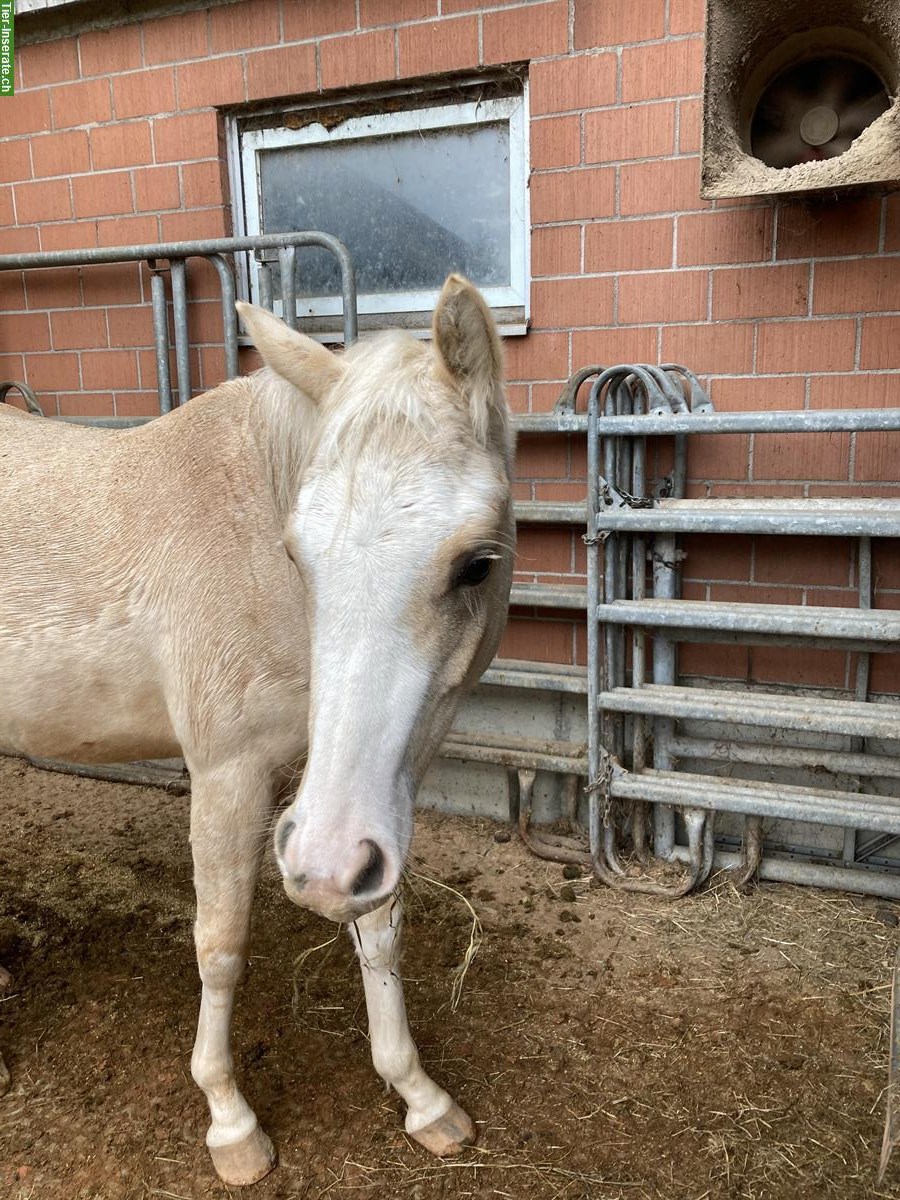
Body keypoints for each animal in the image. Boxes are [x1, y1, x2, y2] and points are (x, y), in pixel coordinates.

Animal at [0, 276, 513, 1185]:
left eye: (477, 563)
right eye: (297, 556)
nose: (320, 868)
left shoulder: (367, 793)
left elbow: (379, 930)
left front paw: (419, 1096)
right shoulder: (228, 773)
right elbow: (221, 943)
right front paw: (229, 1122)